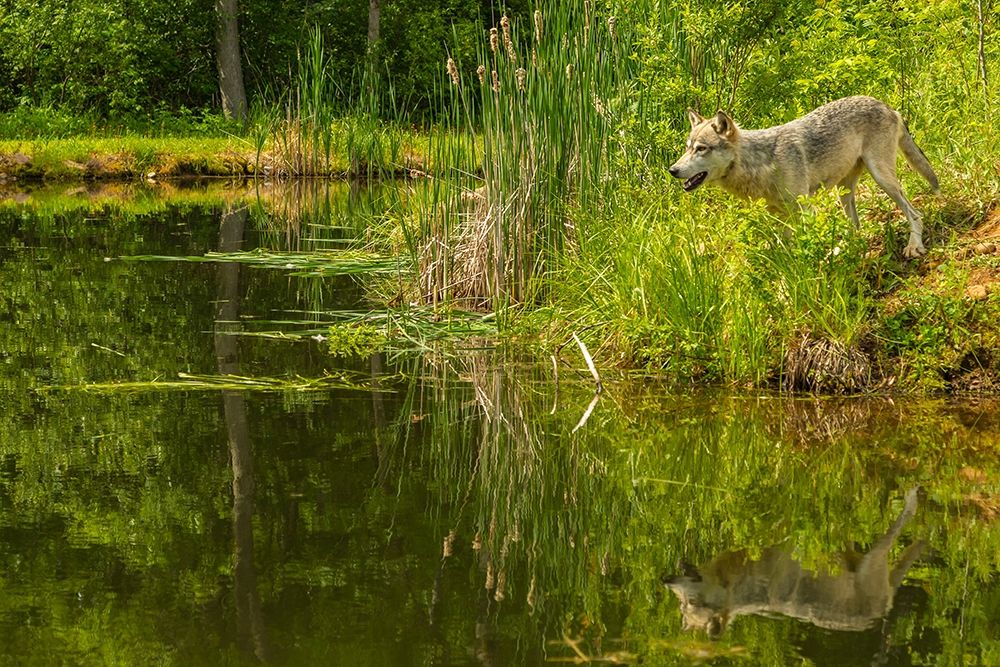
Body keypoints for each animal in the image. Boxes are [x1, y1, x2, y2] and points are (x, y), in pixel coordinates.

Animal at [662, 487, 925, 638]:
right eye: (681, 605)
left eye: (691, 602)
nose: (666, 581)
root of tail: (883, 608)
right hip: (852, 554)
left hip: (874, 558)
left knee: (907, 515)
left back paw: (912, 496)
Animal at [668, 96, 940, 258]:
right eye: (687, 147)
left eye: (701, 149)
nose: (672, 170)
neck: (762, 162)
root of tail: (887, 105)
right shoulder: (779, 216)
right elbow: (786, 251)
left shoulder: (805, 209)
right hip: (844, 192)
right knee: (856, 227)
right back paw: (844, 252)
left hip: (882, 178)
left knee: (915, 214)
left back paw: (914, 246)